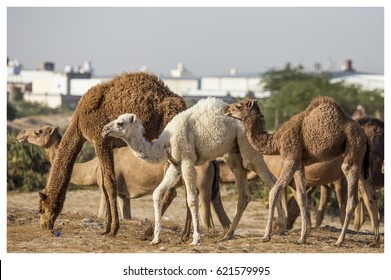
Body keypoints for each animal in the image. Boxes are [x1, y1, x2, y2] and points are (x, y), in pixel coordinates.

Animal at [17, 126, 233, 237]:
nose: (20, 135)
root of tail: (212, 160)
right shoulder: (124, 194)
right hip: (205, 185)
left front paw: (108, 230)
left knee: (198, 207)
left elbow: (102, 211)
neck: (93, 167)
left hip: (199, 184)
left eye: (38, 131)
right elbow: (125, 212)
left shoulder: (104, 187)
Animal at [38, 71, 188, 235]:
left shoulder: (100, 139)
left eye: (41, 209)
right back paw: (185, 235)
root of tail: (182, 105)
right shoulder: (107, 145)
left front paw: (114, 229)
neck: (78, 124)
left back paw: (150, 232)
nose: (45, 225)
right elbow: (105, 184)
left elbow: (110, 182)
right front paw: (107, 227)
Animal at [101, 97, 284, 245]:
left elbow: (192, 199)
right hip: (233, 154)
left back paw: (273, 232)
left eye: (120, 123)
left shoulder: (187, 160)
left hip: (247, 145)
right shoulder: (175, 165)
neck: (165, 144)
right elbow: (157, 193)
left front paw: (196, 239)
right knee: (245, 193)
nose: (104, 129)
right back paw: (229, 235)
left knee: (269, 180)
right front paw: (155, 238)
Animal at [225, 96, 382, 245]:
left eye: (238, 106)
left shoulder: (291, 158)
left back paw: (340, 241)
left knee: (352, 197)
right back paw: (376, 241)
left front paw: (266, 236)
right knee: (372, 195)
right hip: (361, 160)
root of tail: (363, 134)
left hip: (353, 149)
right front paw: (302, 238)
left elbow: (274, 191)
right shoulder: (299, 164)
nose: (226, 109)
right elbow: (301, 197)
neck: (277, 140)